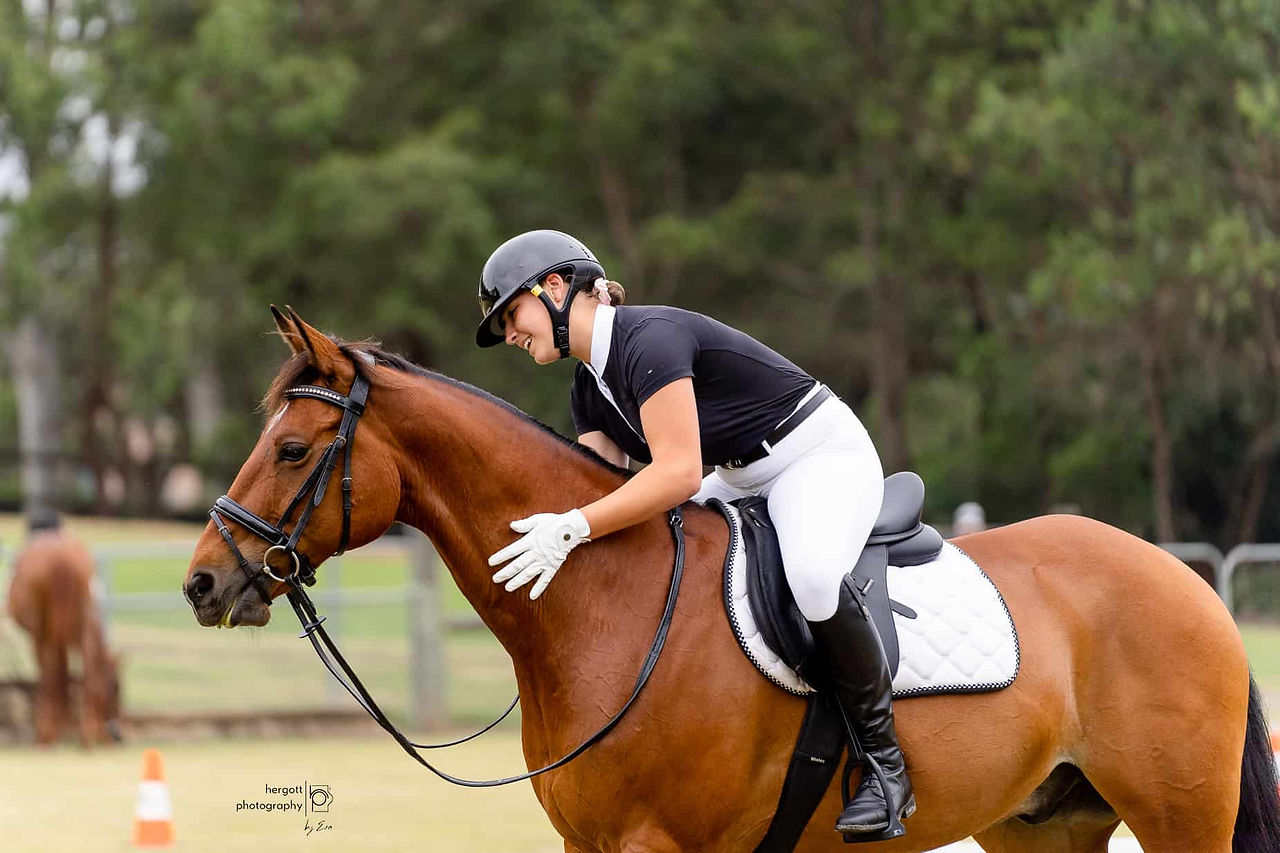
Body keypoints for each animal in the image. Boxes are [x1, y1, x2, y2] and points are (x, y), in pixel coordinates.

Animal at [8, 527, 121, 747]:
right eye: (116, 689)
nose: (116, 735)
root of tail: (62, 559)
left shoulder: (42, 634)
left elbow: (54, 674)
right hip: (77, 626)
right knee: (86, 673)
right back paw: (84, 736)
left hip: (46, 630)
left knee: (50, 673)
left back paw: (48, 735)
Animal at [184, 307, 1280, 853]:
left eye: (290, 448)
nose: (202, 582)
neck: (604, 606)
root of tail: (1187, 585)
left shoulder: (656, 844)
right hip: (1042, 825)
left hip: (1180, 817)